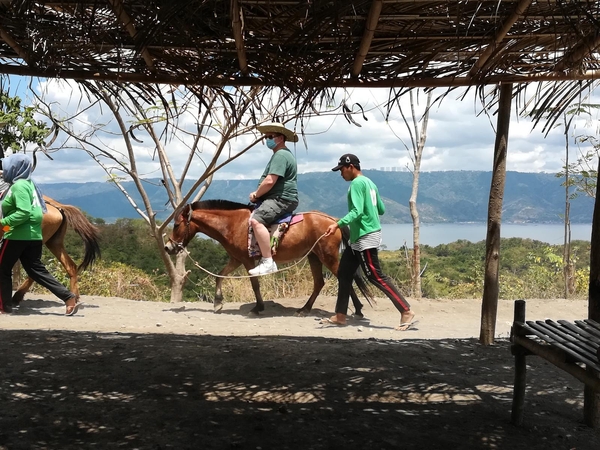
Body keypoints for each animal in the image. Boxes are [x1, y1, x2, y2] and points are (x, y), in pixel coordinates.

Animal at [163, 200, 370, 316]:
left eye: (177, 225)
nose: (168, 247)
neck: (232, 224)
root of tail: (334, 221)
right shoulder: (236, 259)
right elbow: (219, 275)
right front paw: (218, 302)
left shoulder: (247, 260)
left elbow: (254, 283)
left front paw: (258, 307)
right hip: (314, 257)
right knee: (319, 282)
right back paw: (305, 309)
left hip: (327, 256)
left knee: (343, 278)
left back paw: (356, 309)